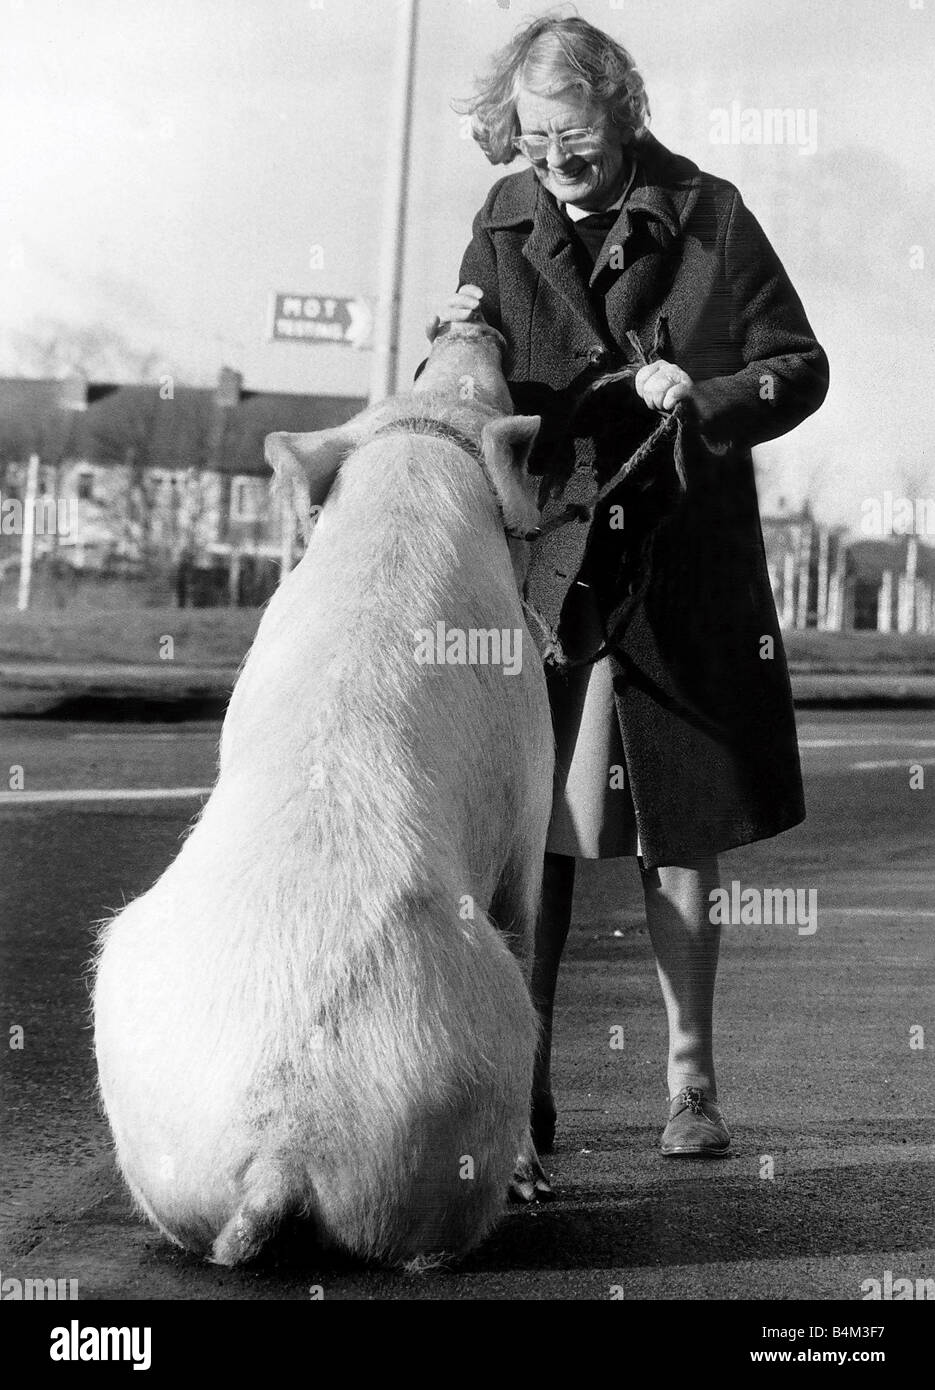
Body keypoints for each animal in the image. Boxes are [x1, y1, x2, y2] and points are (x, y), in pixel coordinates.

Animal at [93, 319, 555, 1267]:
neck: (416, 446)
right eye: (434, 369)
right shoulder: (531, 791)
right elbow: (529, 920)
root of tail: (281, 1146)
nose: (462, 321)